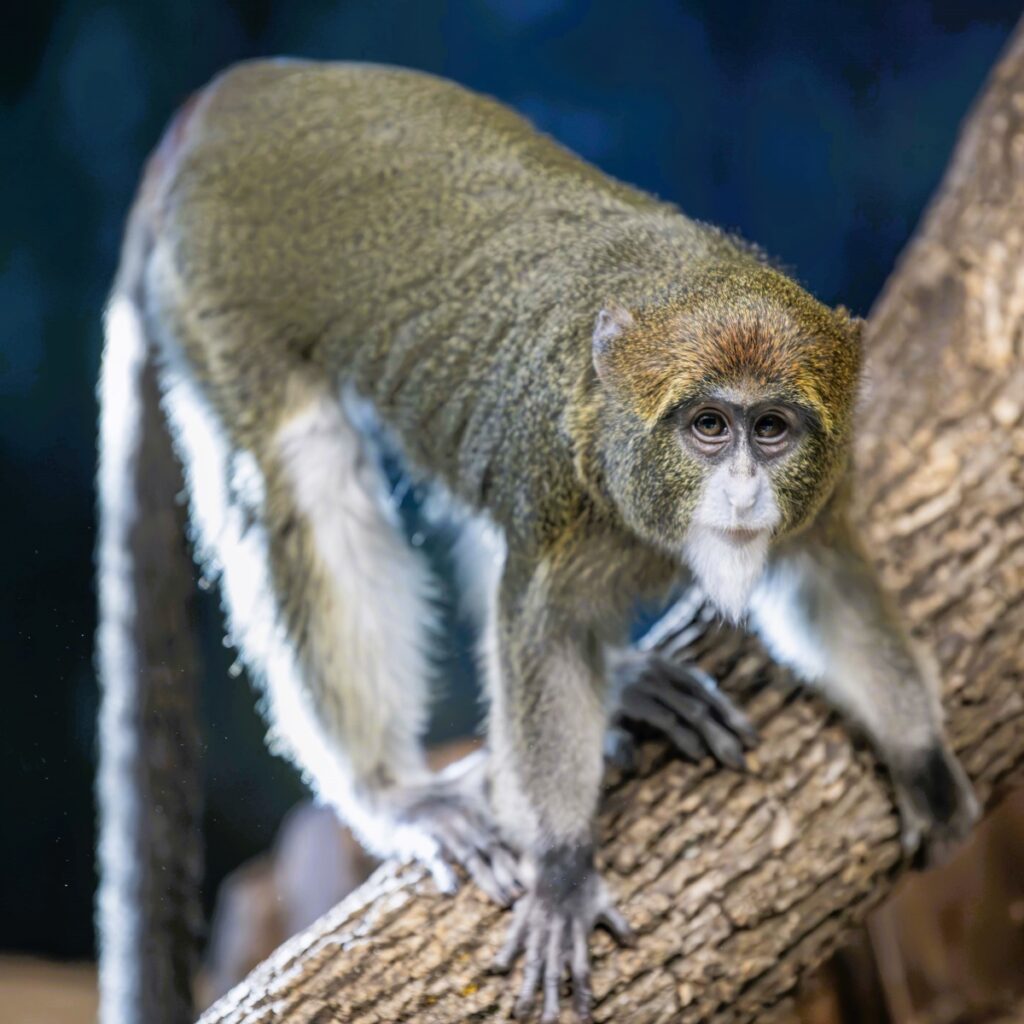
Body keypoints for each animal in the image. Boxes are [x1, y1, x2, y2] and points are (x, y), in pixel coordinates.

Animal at [96, 59, 978, 1023]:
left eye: (772, 430)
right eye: (709, 427)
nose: (745, 490)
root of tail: (226, 95)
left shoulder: (824, 488)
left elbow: (831, 586)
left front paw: (921, 757)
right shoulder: (561, 490)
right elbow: (542, 638)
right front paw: (560, 870)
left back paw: (625, 682)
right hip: (217, 292)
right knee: (307, 467)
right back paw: (395, 794)